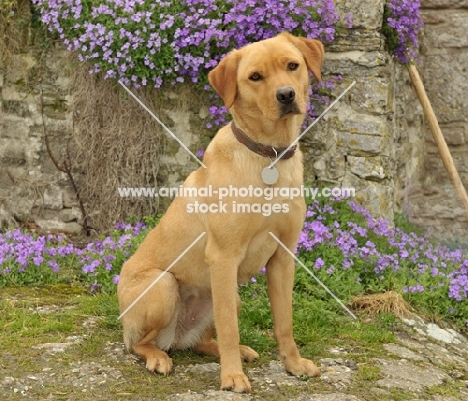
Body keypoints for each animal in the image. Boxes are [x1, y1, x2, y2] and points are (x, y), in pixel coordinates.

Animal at [116, 32, 324, 392]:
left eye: (292, 65)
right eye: (255, 76)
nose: (286, 95)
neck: (268, 157)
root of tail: (175, 336)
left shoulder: (283, 258)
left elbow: (284, 323)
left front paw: (294, 364)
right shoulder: (224, 257)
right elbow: (229, 327)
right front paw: (232, 376)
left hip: (225, 295)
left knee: (200, 341)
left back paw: (235, 351)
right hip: (164, 286)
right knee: (140, 343)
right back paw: (159, 357)